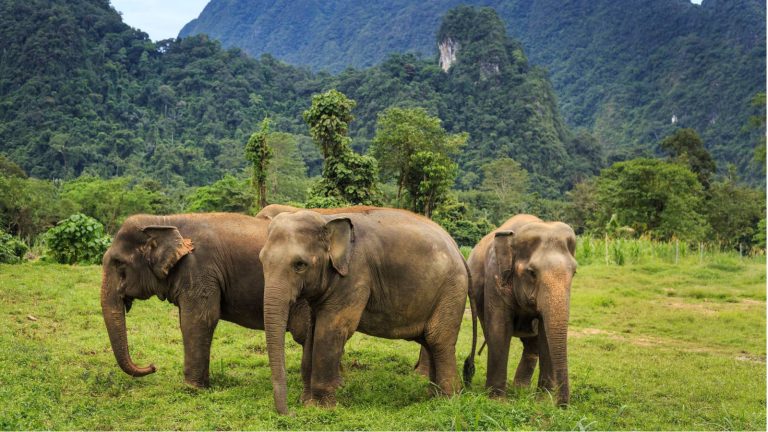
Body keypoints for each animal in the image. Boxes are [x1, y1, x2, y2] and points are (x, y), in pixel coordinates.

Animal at [100, 212, 313, 388]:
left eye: (119, 263)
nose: (152, 366)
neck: (164, 220)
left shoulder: (199, 269)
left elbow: (198, 320)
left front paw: (192, 388)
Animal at [258, 207, 476, 414]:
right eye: (261, 260)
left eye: (300, 265)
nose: (289, 413)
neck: (326, 220)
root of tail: (459, 251)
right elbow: (313, 331)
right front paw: (307, 402)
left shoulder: (355, 276)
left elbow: (332, 329)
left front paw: (320, 408)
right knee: (430, 341)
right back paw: (432, 396)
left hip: (451, 291)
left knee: (439, 340)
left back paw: (447, 399)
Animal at [467, 214, 576, 406]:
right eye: (532, 272)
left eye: (575, 272)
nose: (562, 406)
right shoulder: (495, 277)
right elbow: (499, 329)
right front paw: (497, 401)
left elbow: (545, 334)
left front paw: (542, 401)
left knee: (532, 345)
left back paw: (521, 390)